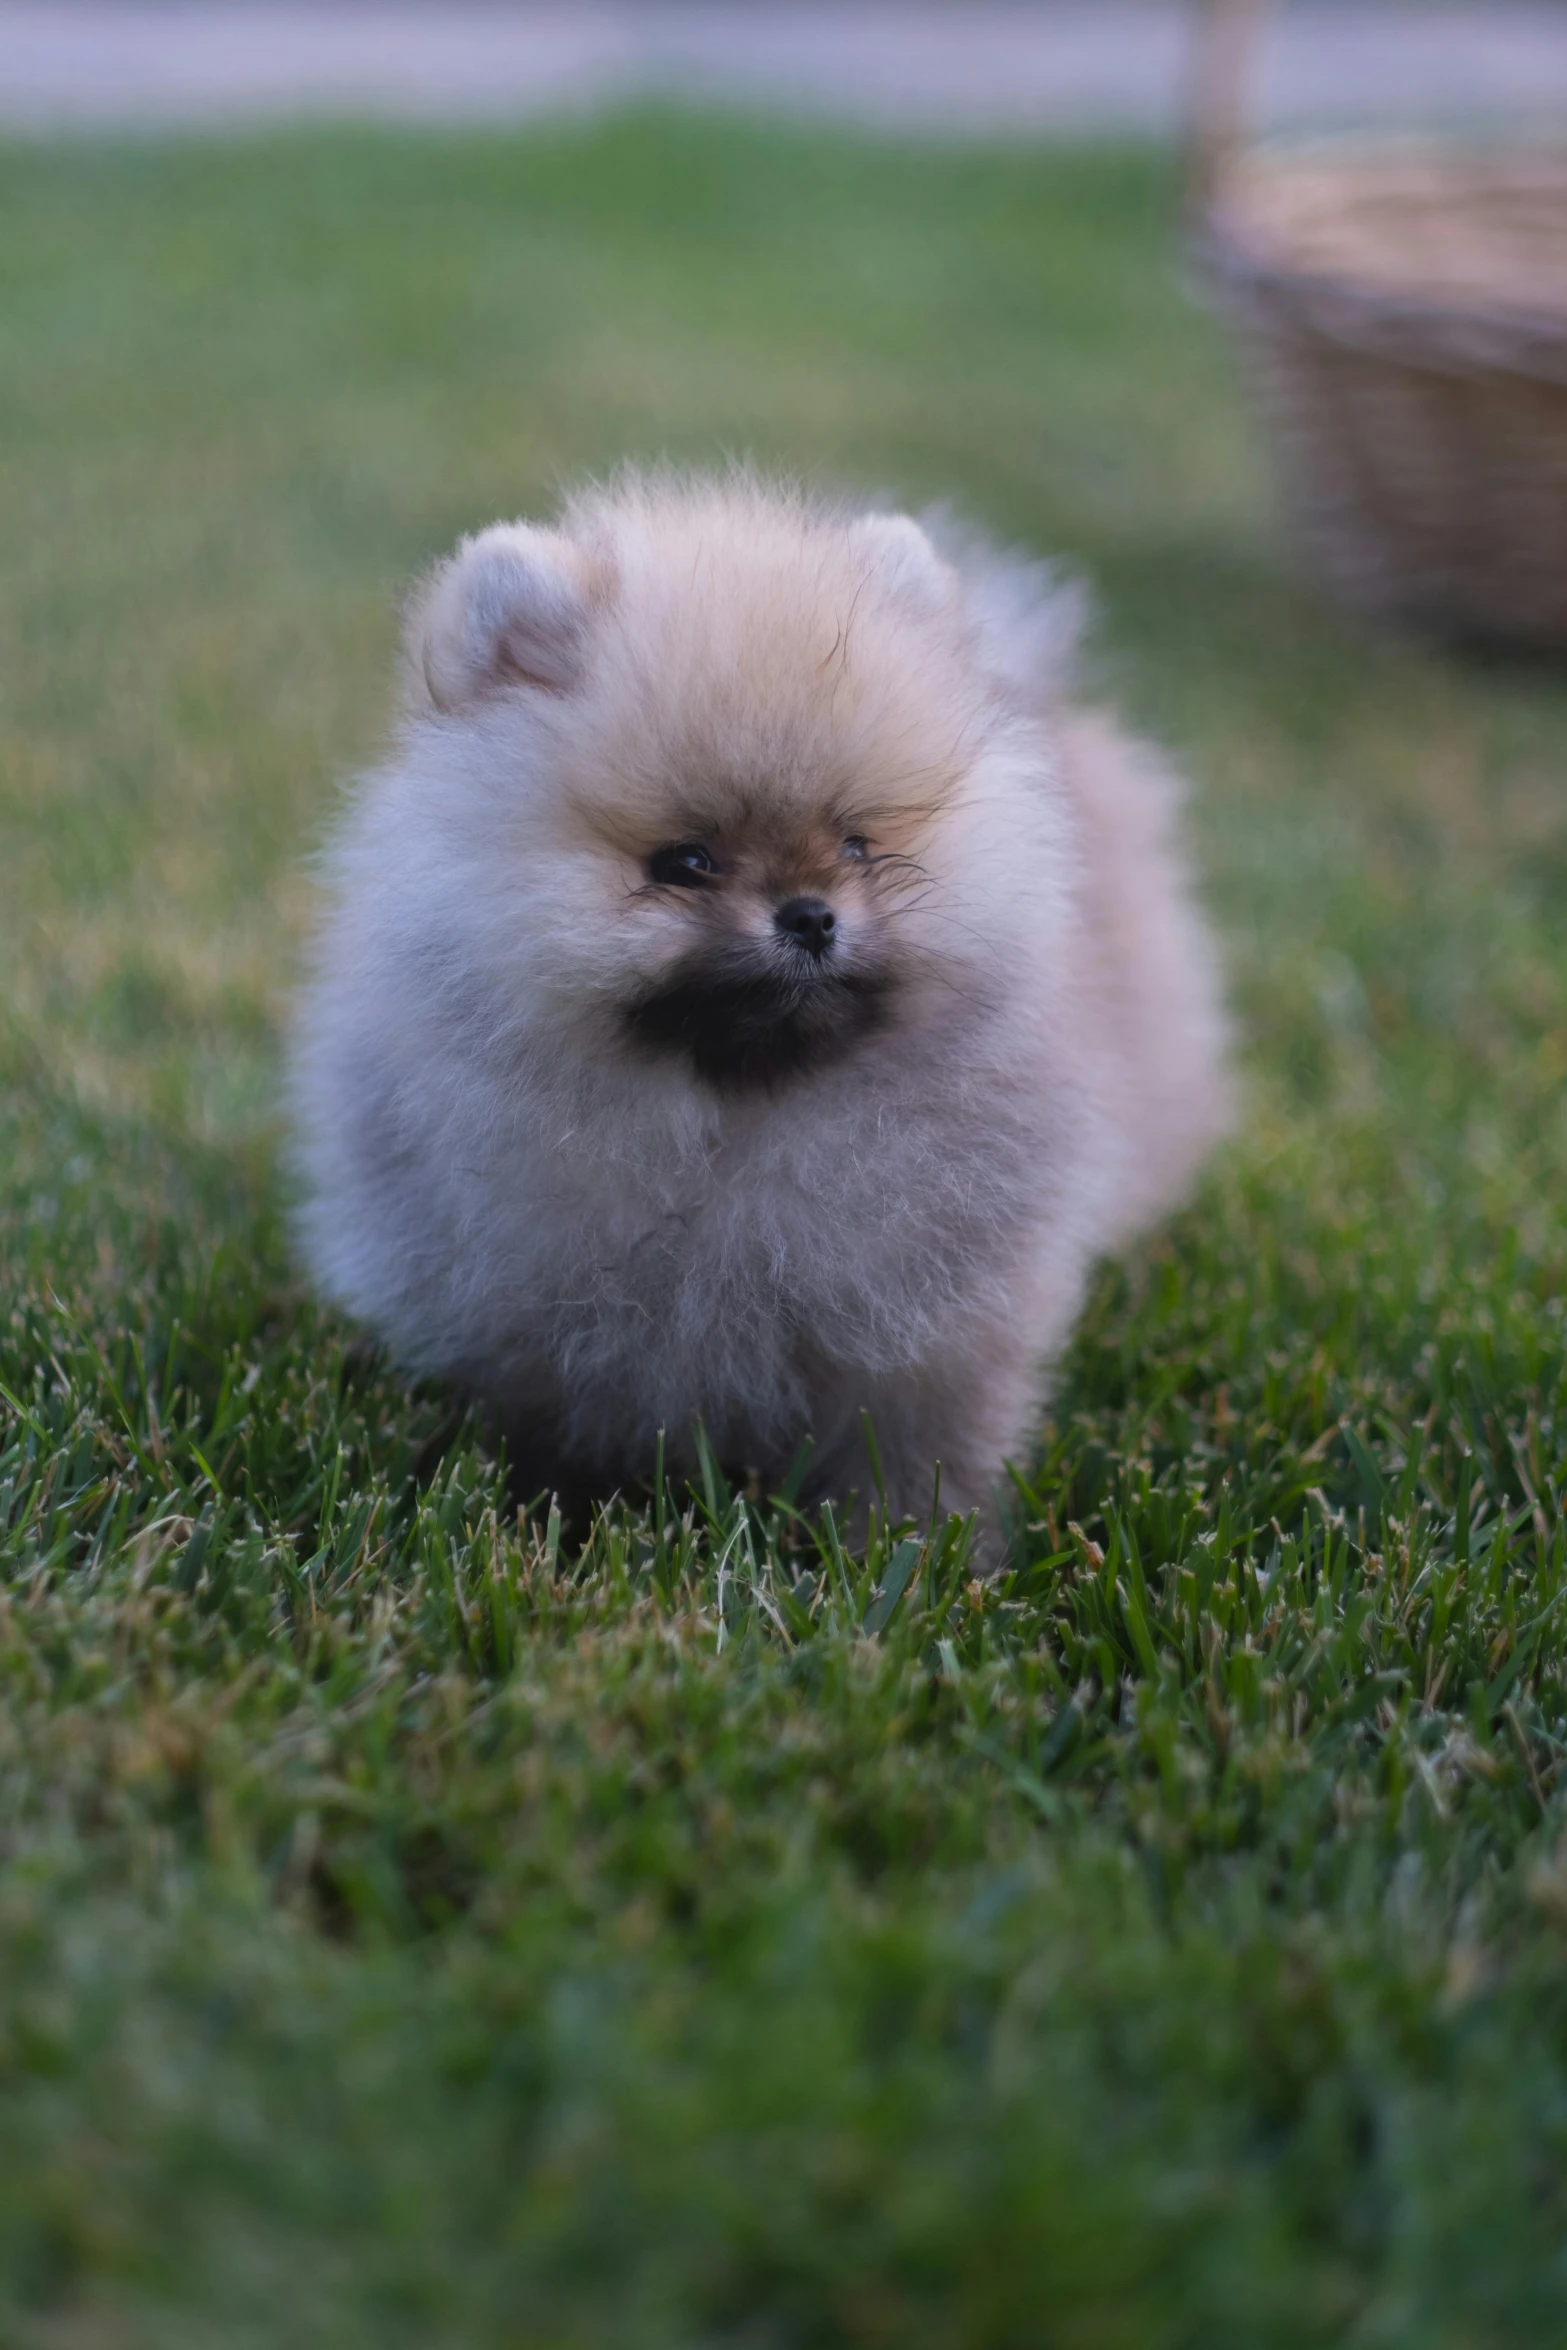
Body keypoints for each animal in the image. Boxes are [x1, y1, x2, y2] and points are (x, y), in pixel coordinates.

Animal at [287, 477, 1231, 1541]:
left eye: (859, 846)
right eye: (685, 862)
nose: (810, 915)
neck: (731, 1123)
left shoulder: (928, 1335)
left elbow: (920, 1451)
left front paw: (914, 1551)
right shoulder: (519, 1313)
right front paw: (545, 1521)